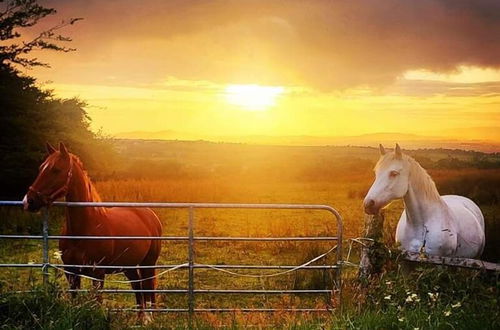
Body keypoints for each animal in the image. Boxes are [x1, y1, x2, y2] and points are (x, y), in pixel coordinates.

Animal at [23, 142, 162, 322]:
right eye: (41, 168)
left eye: (56, 170)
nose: (28, 201)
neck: (82, 230)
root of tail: (150, 214)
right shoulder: (71, 272)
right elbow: (74, 300)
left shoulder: (98, 273)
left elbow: (97, 302)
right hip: (129, 266)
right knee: (137, 287)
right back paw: (140, 319)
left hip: (148, 263)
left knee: (148, 288)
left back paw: (149, 319)